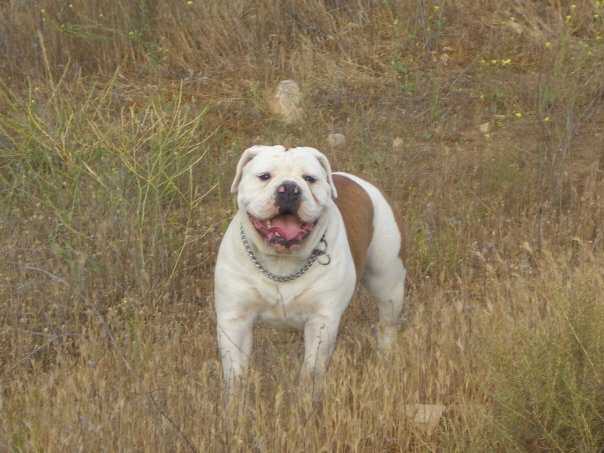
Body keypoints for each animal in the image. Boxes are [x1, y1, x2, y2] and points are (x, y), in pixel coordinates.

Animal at [212, 146, 406, 396]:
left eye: (309, 179)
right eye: (264, 176)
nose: (289, 188)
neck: (281, 261)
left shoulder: (321, 321)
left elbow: (312, 370)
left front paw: (305, 399)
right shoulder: (235, 320)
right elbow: (235, 373)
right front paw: (236, 401)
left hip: (388, 284)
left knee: (387, 324)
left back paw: (385, 360)